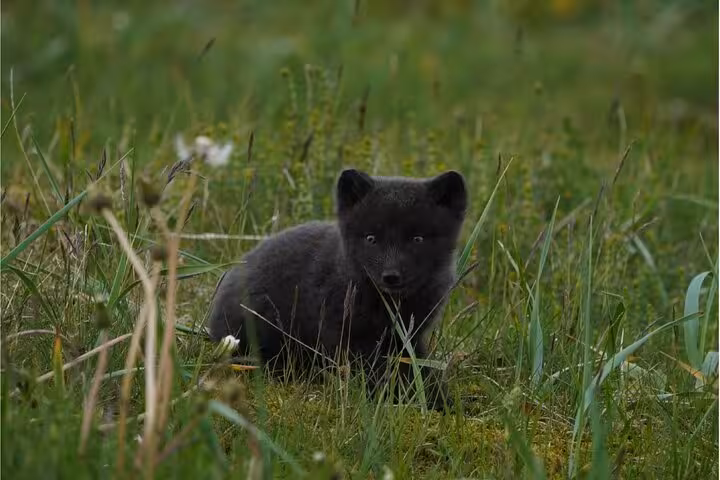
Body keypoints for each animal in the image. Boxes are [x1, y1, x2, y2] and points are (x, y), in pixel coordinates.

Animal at [206, 169, 467, 409]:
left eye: (417, 239)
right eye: (371, 238)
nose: (391, 276)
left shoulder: (410, 335)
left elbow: (417, 367)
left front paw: (440, 402)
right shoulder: (345, 336)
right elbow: (374, 372)